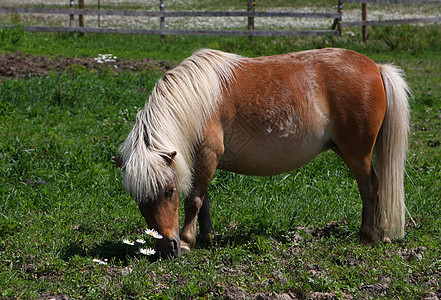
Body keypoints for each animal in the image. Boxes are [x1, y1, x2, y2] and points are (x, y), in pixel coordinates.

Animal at [114, 48, 410, 256]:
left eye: (170, 191)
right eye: (139, 199)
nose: (167, 248)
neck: (198, 100)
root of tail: (375, 67)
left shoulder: (207, 155)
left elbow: (194, 200)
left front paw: (188, 241)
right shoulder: (202, 160)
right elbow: (205, 200)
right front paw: (207, 237)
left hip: (356, 153)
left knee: (370, 188)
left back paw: (366, 236)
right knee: (378, 185)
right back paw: (382, 232)